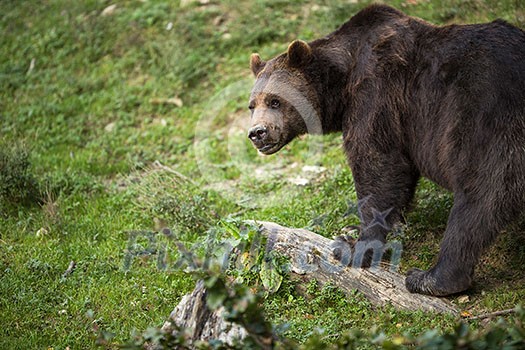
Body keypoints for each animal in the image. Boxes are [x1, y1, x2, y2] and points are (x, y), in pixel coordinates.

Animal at [247, 4, 524, 296]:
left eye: (275, 101)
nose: (257, 133)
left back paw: (432, 278)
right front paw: (357, 227)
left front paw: (353, 246)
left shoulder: (377, 95)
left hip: (482, 114)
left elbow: (376, 166)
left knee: (480, 195)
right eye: (252, 105)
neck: (342, 81)